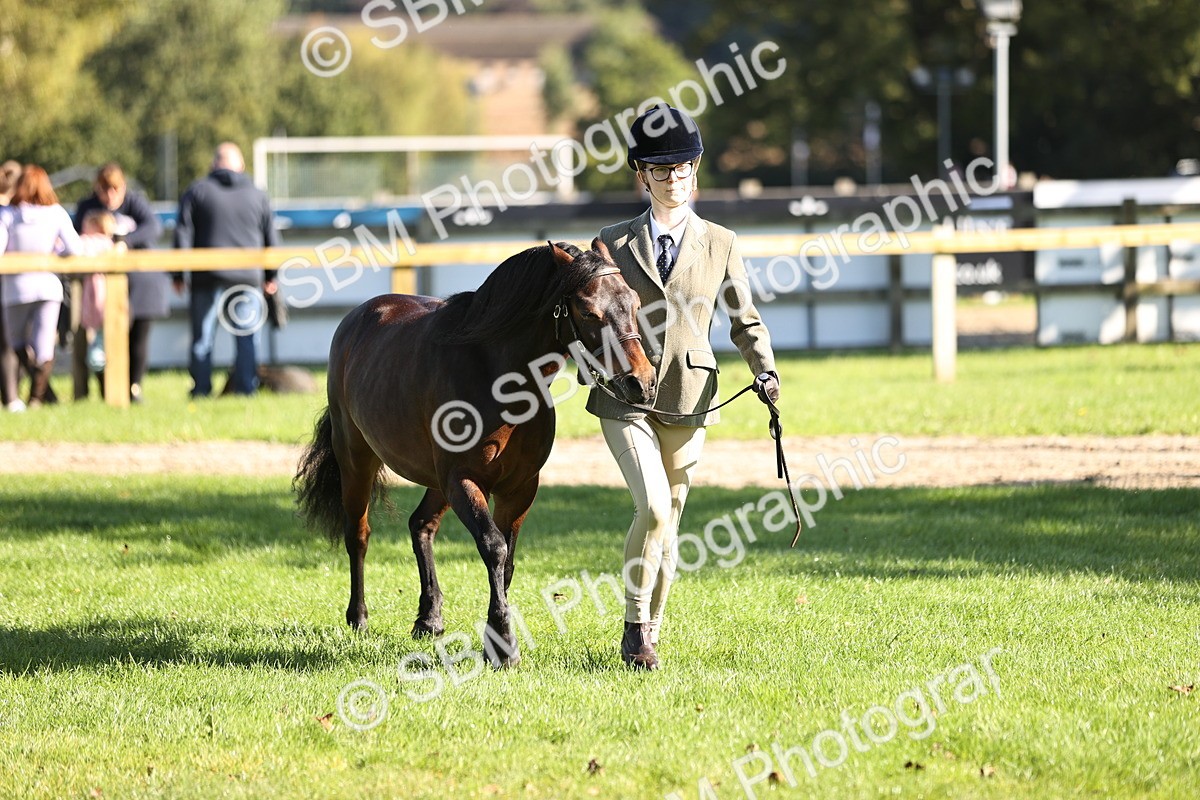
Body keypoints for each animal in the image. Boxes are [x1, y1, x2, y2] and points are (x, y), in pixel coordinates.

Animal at [294, 239, 657, 667]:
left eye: (634, 302)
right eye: (588, 311)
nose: (642, 382)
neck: (497, 375)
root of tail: (356, 319)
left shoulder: (519, 489)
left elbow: (508, 561)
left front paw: (495, 640)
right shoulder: (463, 480)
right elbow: (493, 548)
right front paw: (504, 646)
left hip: (434, 481)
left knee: (420, 526)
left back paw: (429, 618)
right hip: (357, 459)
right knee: (359, 535)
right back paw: (359, 618)